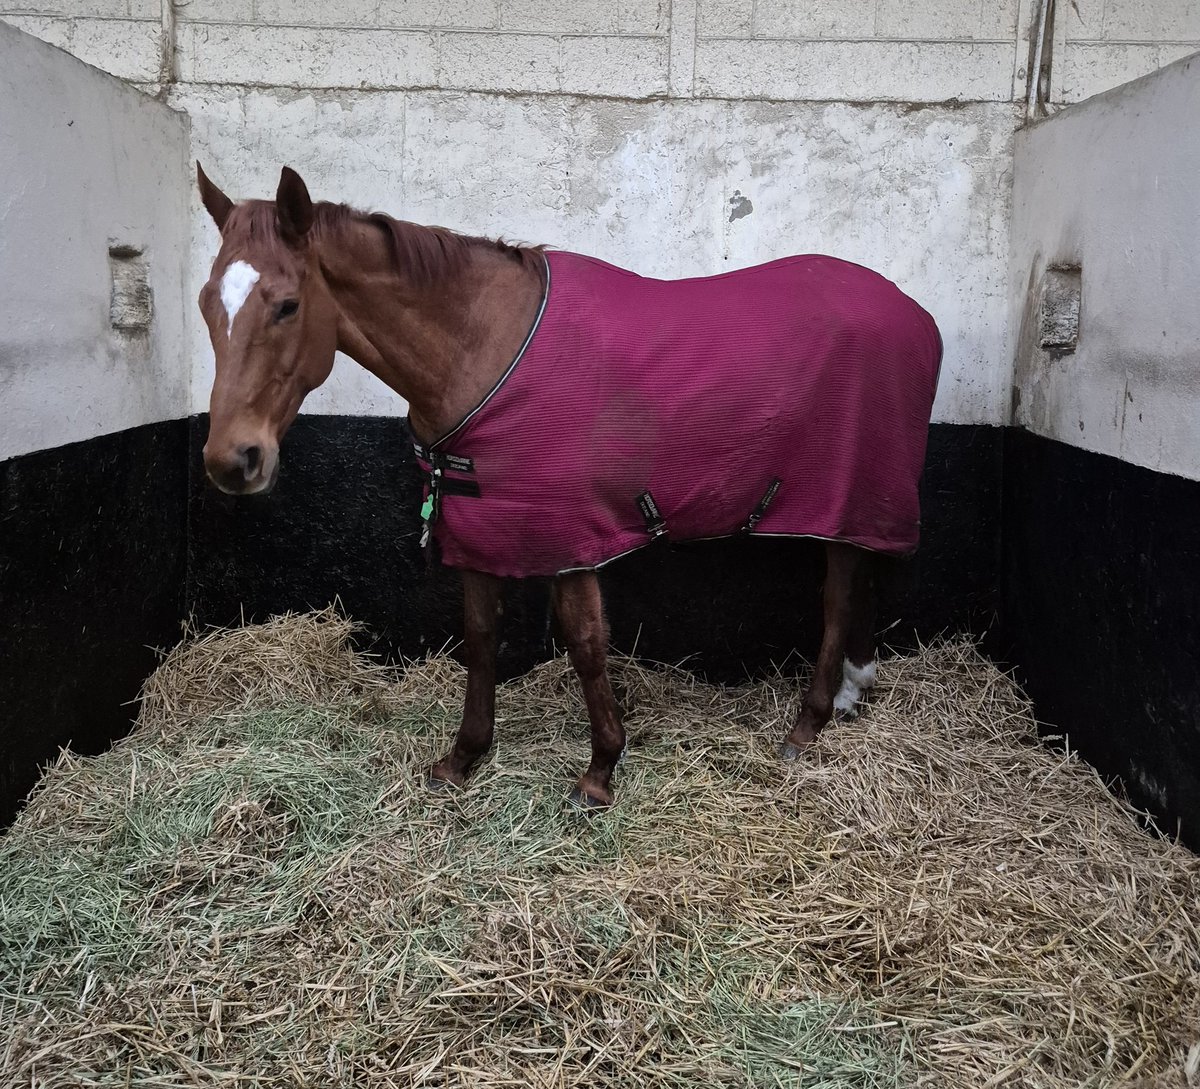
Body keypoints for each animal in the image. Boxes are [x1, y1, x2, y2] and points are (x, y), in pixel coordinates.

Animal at [196, 164, 942, 809]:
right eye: (207, 304)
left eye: (287, 305)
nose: (233, 459)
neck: (479, 348)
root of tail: (916, 312)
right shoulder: (483, 531)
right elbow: (479, 637)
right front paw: (462, 759)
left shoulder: (569, 536)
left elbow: (584, 642)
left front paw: (601, 770)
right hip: (851, 504)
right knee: (859, 574)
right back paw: (851, 691)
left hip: (848, 493)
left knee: (838, 593)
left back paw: (807, 723)